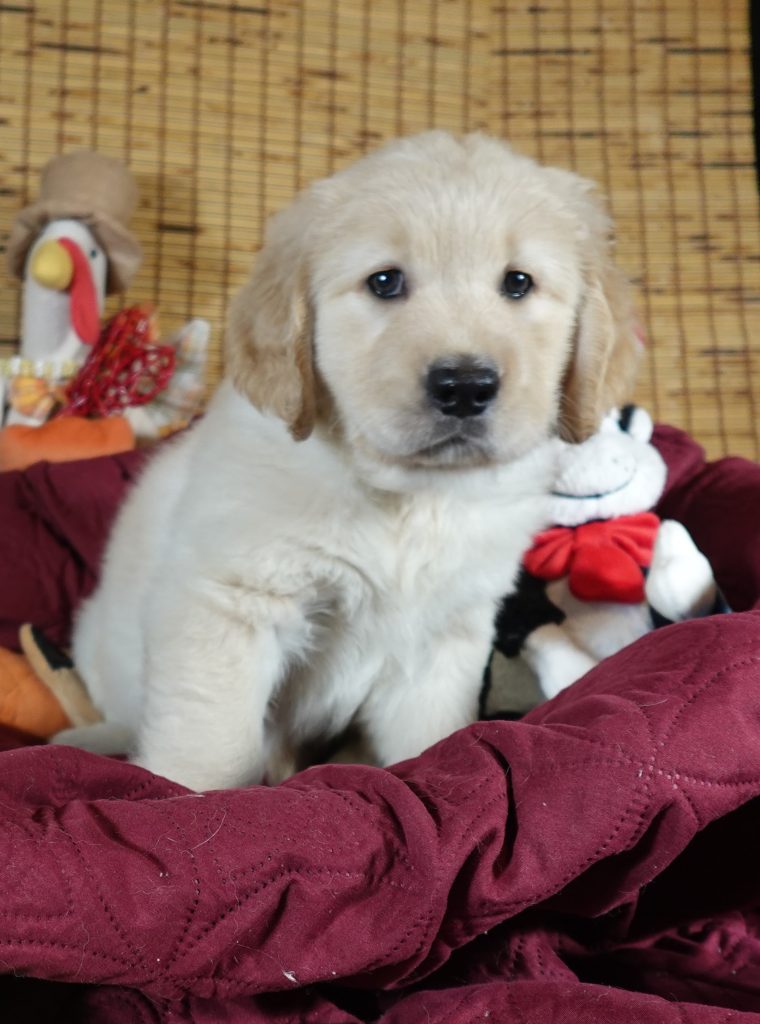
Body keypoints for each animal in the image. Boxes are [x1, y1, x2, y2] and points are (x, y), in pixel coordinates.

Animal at [65, 132, 639, 790]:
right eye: (384, 282)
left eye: (518, 283)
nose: (465, 387)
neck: (410, 501)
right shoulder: (231, 604)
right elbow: (211, 744)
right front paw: (180, 795)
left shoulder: (443, 637)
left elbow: (431, 737)